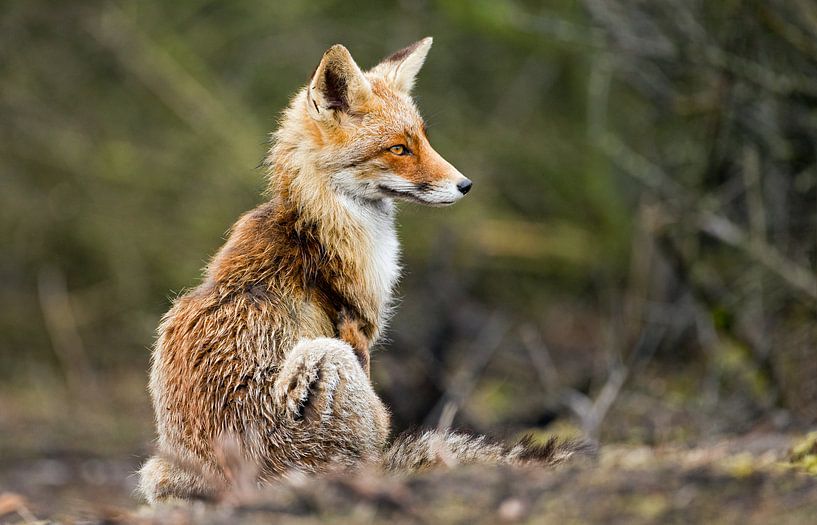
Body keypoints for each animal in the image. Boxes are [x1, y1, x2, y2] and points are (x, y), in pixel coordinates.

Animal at [142, 37, 588, 504]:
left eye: (423, 139)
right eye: (398, 149)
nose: (465, 185)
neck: (312, 226)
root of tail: (242, 486)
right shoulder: (357, 330)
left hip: (155, 470)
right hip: (322, 357)